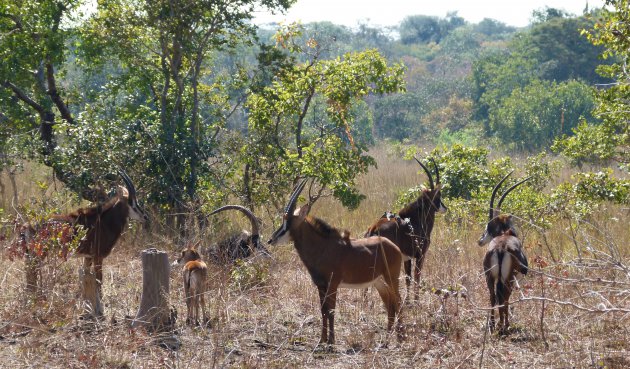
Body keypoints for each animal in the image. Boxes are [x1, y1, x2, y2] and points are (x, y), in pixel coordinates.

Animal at [268, 179, 404, 344]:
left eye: (287, 222)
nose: (271, 240)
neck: (322, 247)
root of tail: (394, 247)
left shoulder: (332, 284)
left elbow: (331, 311)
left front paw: (331, 342)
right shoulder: (320, 285)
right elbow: (323, 311)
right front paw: (322, 340)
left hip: (391, 278)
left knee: (398, 302)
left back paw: (401, 338)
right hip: (379, 282)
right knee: (390, 305)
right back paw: (386, 340)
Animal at [482, 172, 532, 334]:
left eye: (489, 226)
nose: (480, 240)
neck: (505, 233)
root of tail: (501, 248)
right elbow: (506, 298)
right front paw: (505, 323)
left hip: (490, 276)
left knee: (493, 296)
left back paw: (492, 325)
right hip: (508, 277)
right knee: (504, 297)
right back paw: (505, 325)